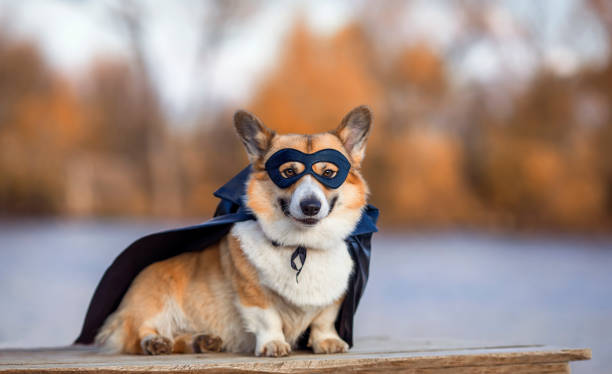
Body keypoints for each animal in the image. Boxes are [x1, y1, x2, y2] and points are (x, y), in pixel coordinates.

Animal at [95, 105, 372, 356]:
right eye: (288, 172)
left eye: (329, 173)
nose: (311, 206)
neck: (301, 246)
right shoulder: (253, 293)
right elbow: (268, 319)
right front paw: (273, 344)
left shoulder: (333, 298)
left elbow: (323, 320)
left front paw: (327, 341)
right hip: (154, 299)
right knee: (139, 333)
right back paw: (155, 342)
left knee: (179, 340)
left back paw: (202, 340)